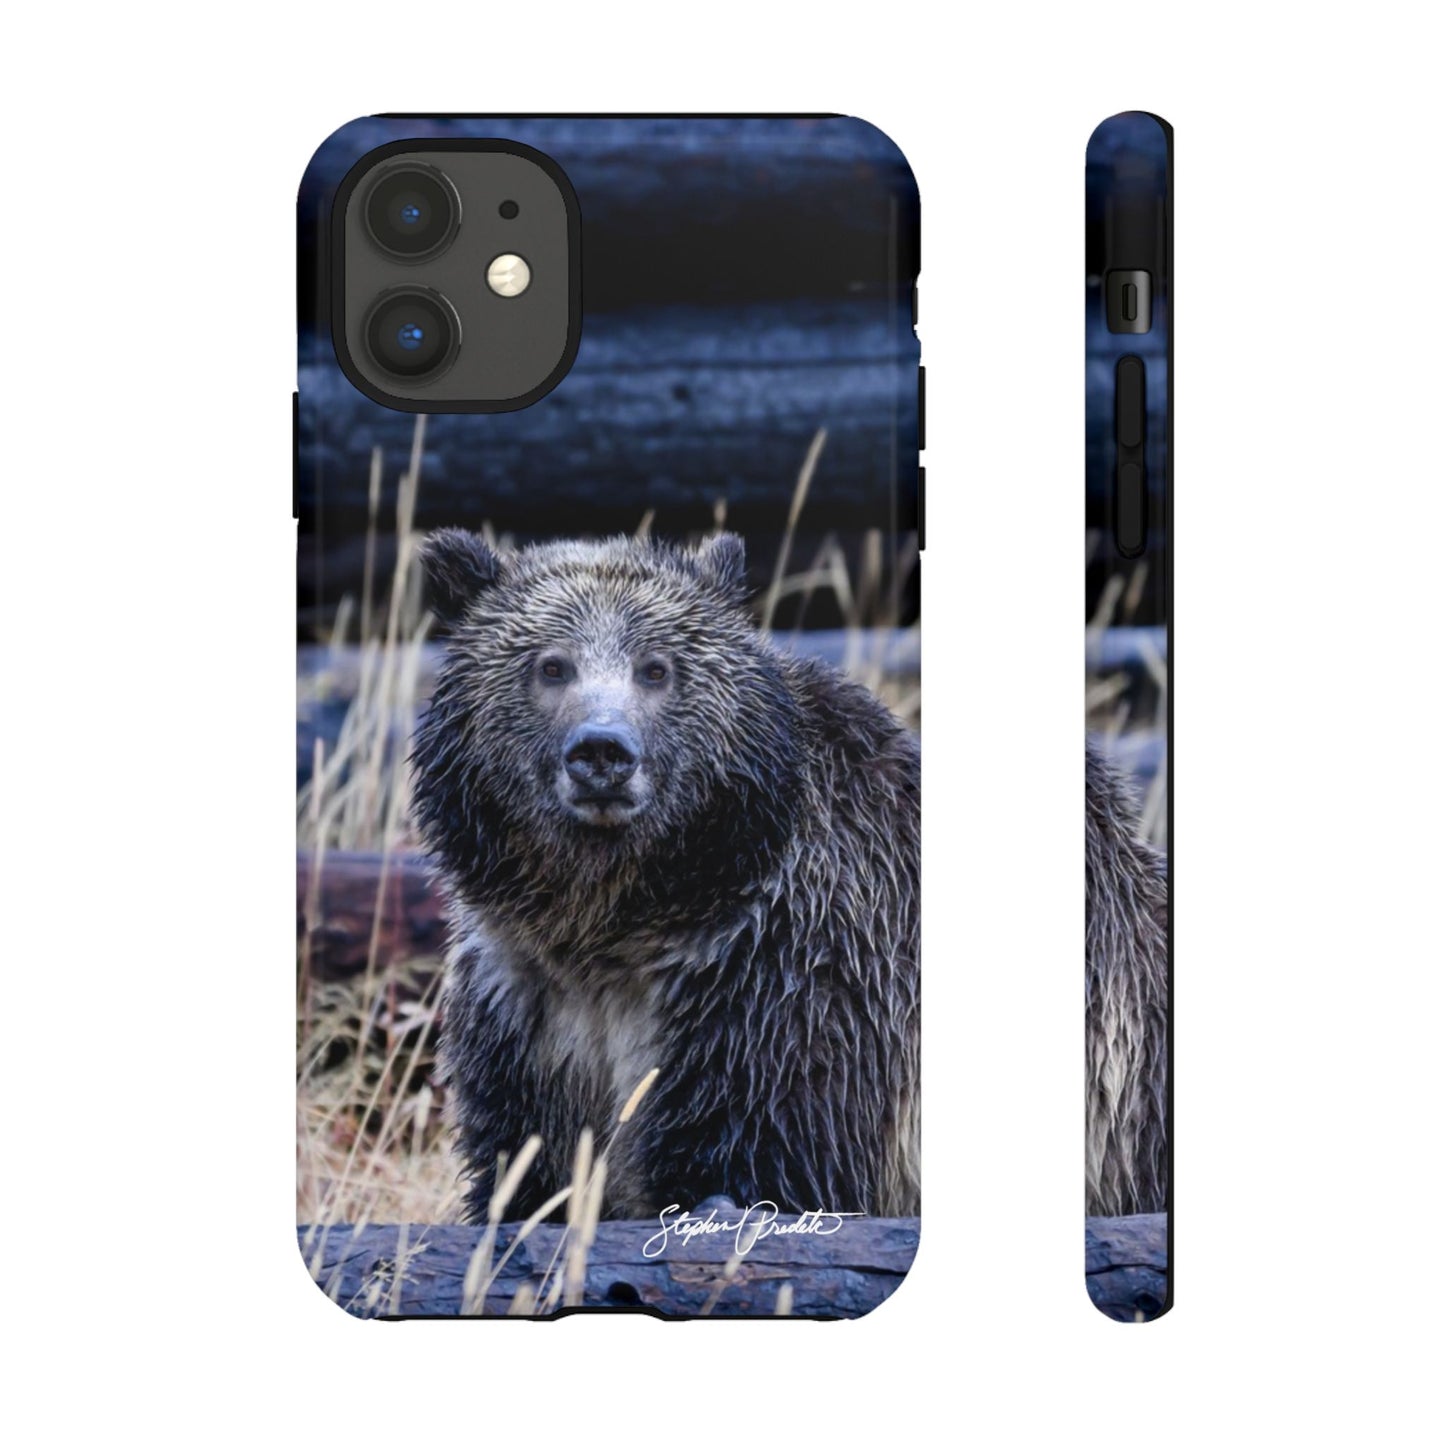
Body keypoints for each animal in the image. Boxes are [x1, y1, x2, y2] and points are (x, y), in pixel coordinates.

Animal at [410, 530, 921, 1223]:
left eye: (655, 668)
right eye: (552, 665)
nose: (602, 751)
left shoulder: (784, 984)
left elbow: (770, 1157)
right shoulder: (525, 1008)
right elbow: (523, 1170)